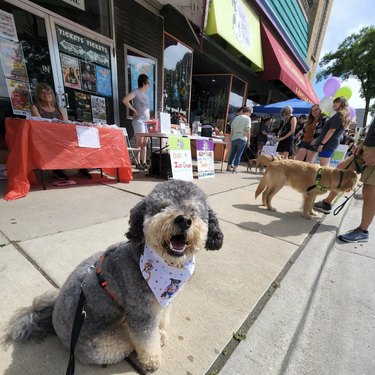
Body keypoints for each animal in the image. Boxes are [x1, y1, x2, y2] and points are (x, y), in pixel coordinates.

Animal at [4, 180, 223, 374]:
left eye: (194, 211)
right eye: (163, 207)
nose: (183, 219)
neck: (162, 265)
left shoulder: (161, 302)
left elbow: (162, 318)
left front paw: (161, 332)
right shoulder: (142, 315)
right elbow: (146, 340)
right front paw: (151, 360)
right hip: (106, 346)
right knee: (126, 342)